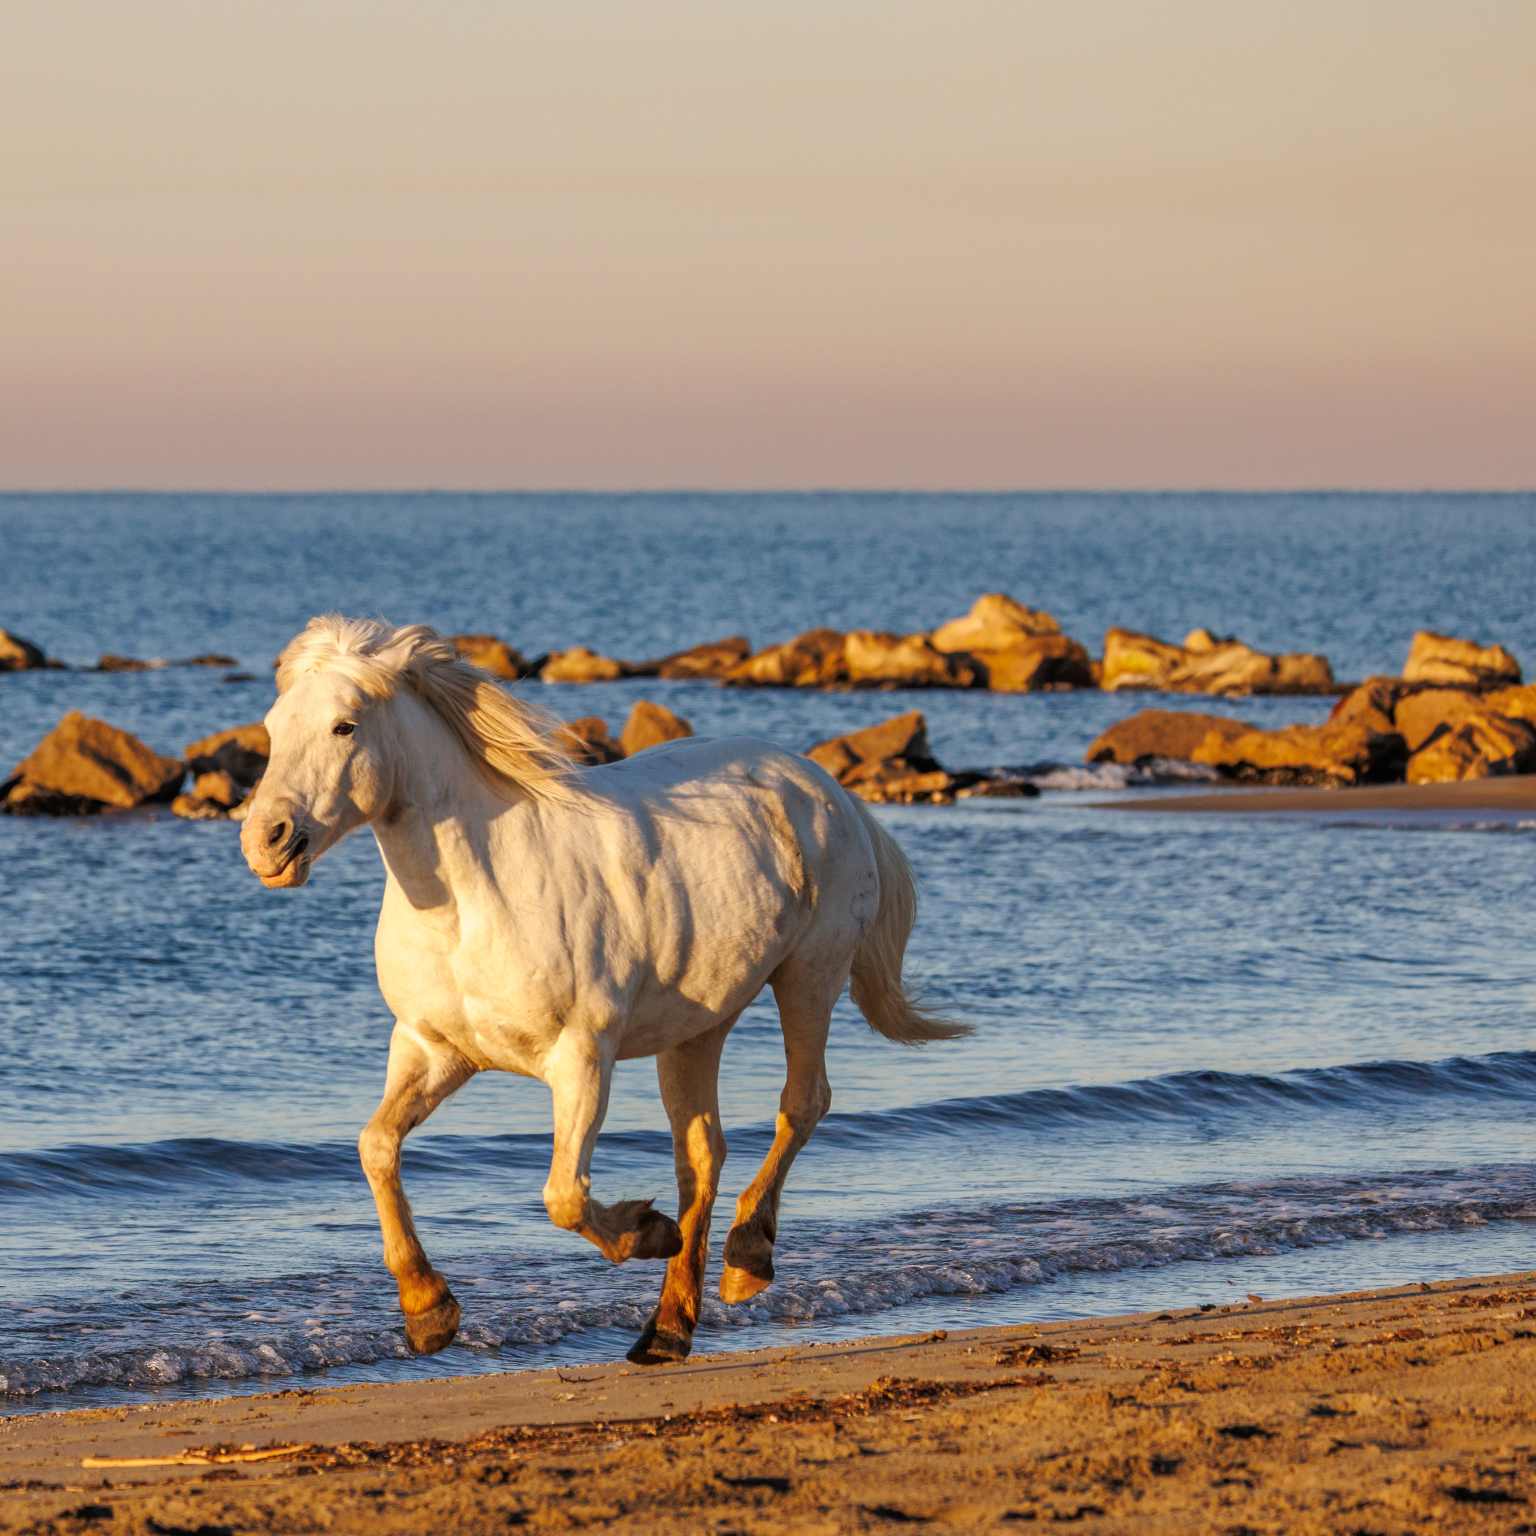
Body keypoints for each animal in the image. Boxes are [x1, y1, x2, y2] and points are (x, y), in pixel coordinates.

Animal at [240, 615, 967, 1366]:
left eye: (344, 726)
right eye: (273, 726)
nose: (266, 842)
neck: (474, 904)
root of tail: (830, 789)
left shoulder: (582, 1055)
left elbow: (562, 1194)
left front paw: (646, 1231)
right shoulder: (434, 1050)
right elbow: (375, 1147)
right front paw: (428, 1310)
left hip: (810, 975)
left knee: (801, 1104)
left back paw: (746, 1261)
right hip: (696, 1028)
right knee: (701, 1153)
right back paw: (666, 1331)